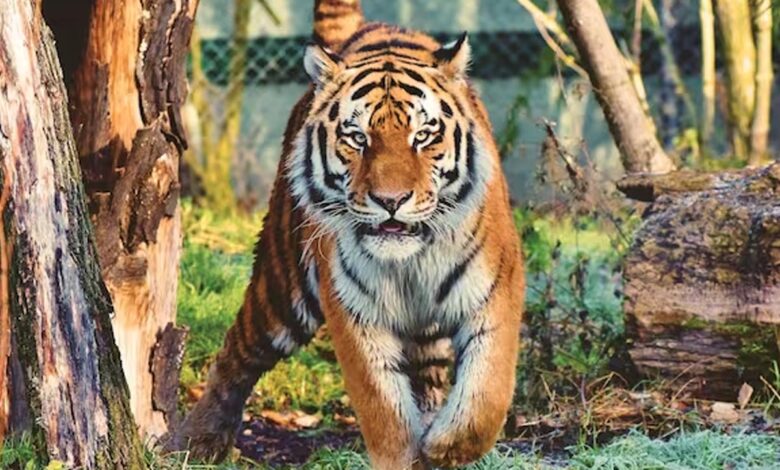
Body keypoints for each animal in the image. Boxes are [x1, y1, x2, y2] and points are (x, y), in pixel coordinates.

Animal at [173, 0, 524, 468]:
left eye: (423, 136)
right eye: (357, 138)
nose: (391, 200)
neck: (410, 261)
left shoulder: (496, 291)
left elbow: (486, 397)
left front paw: (443, 447)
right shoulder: (354, 311)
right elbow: (384, 411)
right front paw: (408, 453)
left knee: (428, 375)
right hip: (283, 285)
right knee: (239, 350)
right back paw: (197, 440)